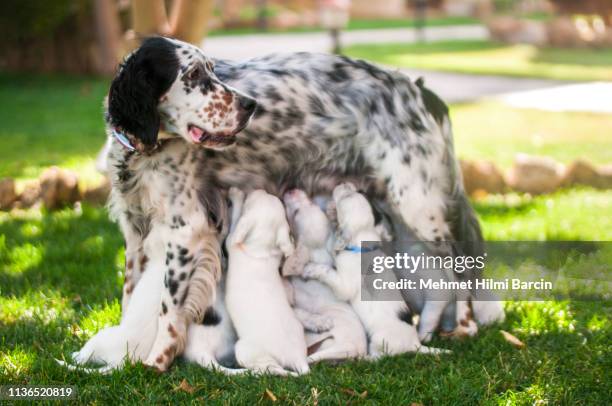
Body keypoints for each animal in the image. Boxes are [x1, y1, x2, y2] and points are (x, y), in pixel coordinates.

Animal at [225, 189, 308, 376]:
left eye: (252, 201)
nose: (258, 189)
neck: (260, 248)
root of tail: (297, 359)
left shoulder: (231, 240)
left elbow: (236, 219)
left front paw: (236, 195)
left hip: (244, 349)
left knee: (272, 369)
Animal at [284, 189, 368, 364]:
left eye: (296, 213)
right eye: (312, 202)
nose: (290, 189)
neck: (319, 254)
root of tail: (352, 350)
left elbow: (296, 310)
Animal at [302, 184, 450, 358]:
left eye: (346, 197)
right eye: (360, 192)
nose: (346, 184)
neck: (364, 245)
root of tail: (415, 344)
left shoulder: (345, 284)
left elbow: (329, 272)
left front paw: (310, 269)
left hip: (379, 340)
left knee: (380, 357)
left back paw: (366, 358)